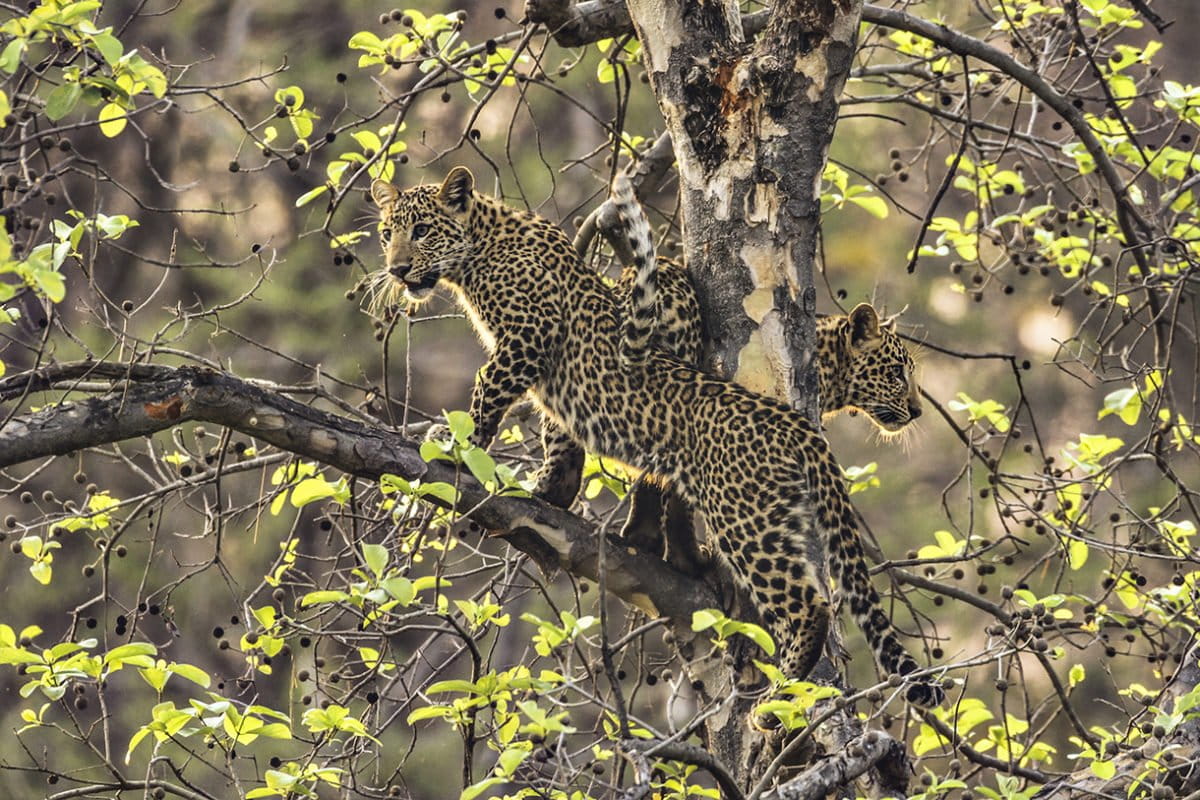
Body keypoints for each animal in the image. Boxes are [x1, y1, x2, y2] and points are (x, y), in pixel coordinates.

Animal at [369, 169, 940, 705]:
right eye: (388, 233)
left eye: (421, 231)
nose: (396, 270)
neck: (479, 252)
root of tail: (794, 424)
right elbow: (558, 431)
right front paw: (550, 489)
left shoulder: (526, 341)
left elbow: (489, 393)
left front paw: (457, 448)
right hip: (776, 516)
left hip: (746, 518)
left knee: (807, 605)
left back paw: (779, 695)